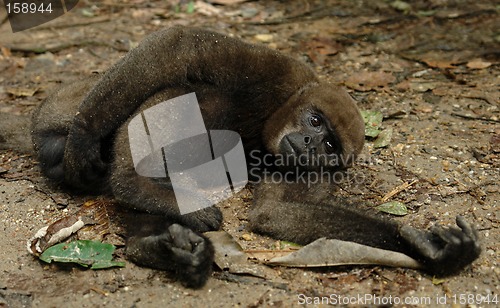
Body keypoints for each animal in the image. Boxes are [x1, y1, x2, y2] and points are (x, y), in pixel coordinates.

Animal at [30, 26, 480, 288]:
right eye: (315, 121)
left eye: (330, 146)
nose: (309, 142)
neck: (277, 114)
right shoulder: (280, 74)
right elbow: (182, 45)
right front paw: (85, 139)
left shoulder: (312, 171)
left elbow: (275, 213)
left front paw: (428, 248)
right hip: (63, 113)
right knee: (195, 95)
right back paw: (134, 183)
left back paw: (166, 248)